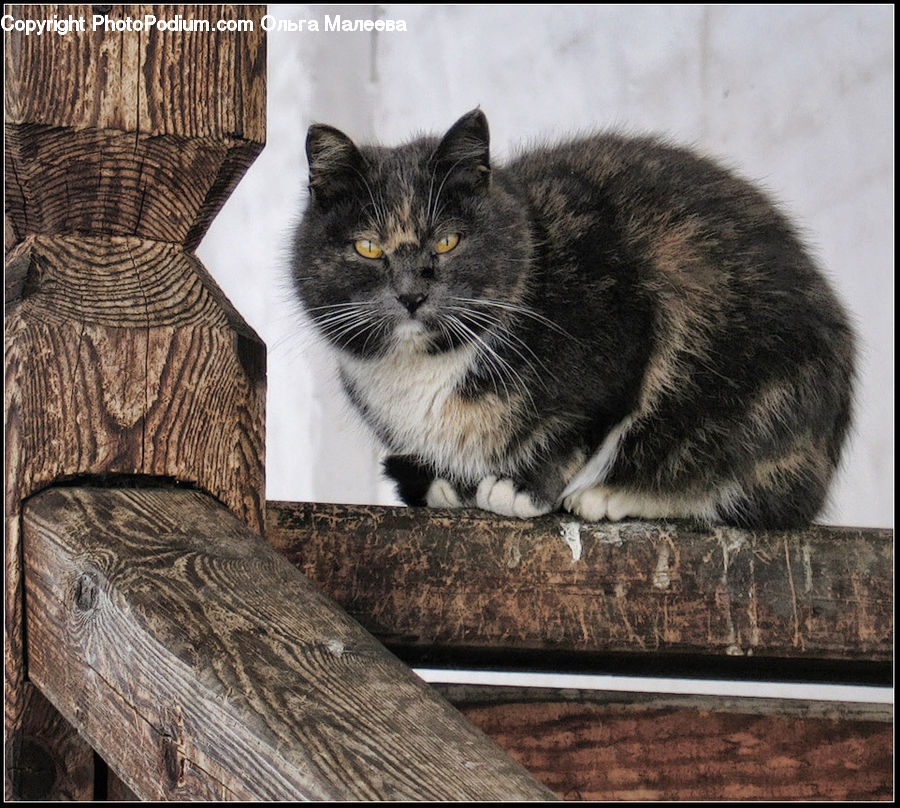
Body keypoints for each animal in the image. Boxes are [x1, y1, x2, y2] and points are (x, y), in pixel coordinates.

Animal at [292, 109, 856, 532]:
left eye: (448, 240)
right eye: (368, 247)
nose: (411, 293)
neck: (426, 370)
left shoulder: (623, 325)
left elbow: (578, 423)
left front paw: (520, 486)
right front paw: (450, 486)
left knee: (748, 493)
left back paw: (606, 494)